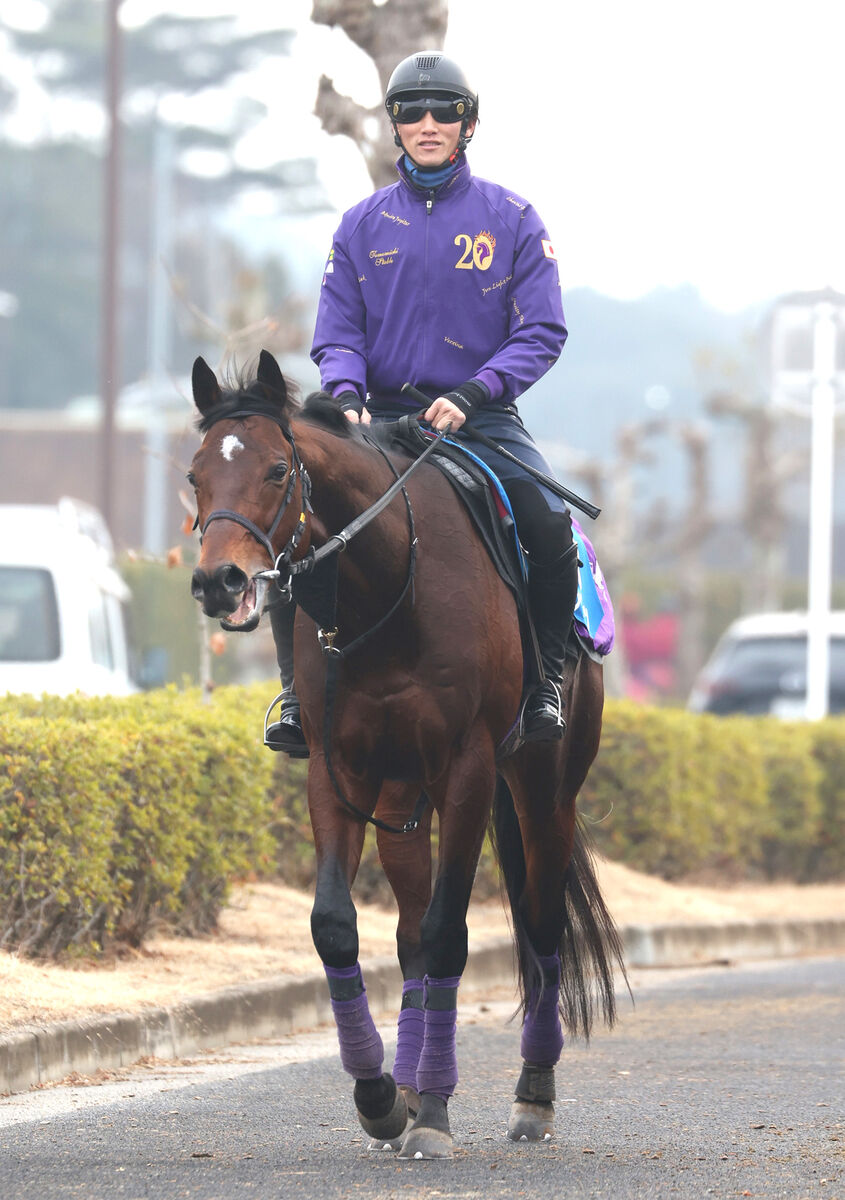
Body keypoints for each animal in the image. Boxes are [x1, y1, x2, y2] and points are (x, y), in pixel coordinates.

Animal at [188, 350, 624, 1156]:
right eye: (195, 474)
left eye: (276, 470)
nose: (217, 581)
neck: (392, 580)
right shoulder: (339, 771)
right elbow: (339, 928)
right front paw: (382, 1097)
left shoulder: (469, 770)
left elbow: (450, 933)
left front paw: (435, 1118)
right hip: (400, 798)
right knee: (410, 935)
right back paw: (418, 1085)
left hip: (542, 788)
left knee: (541, 924)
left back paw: (531, 1095)